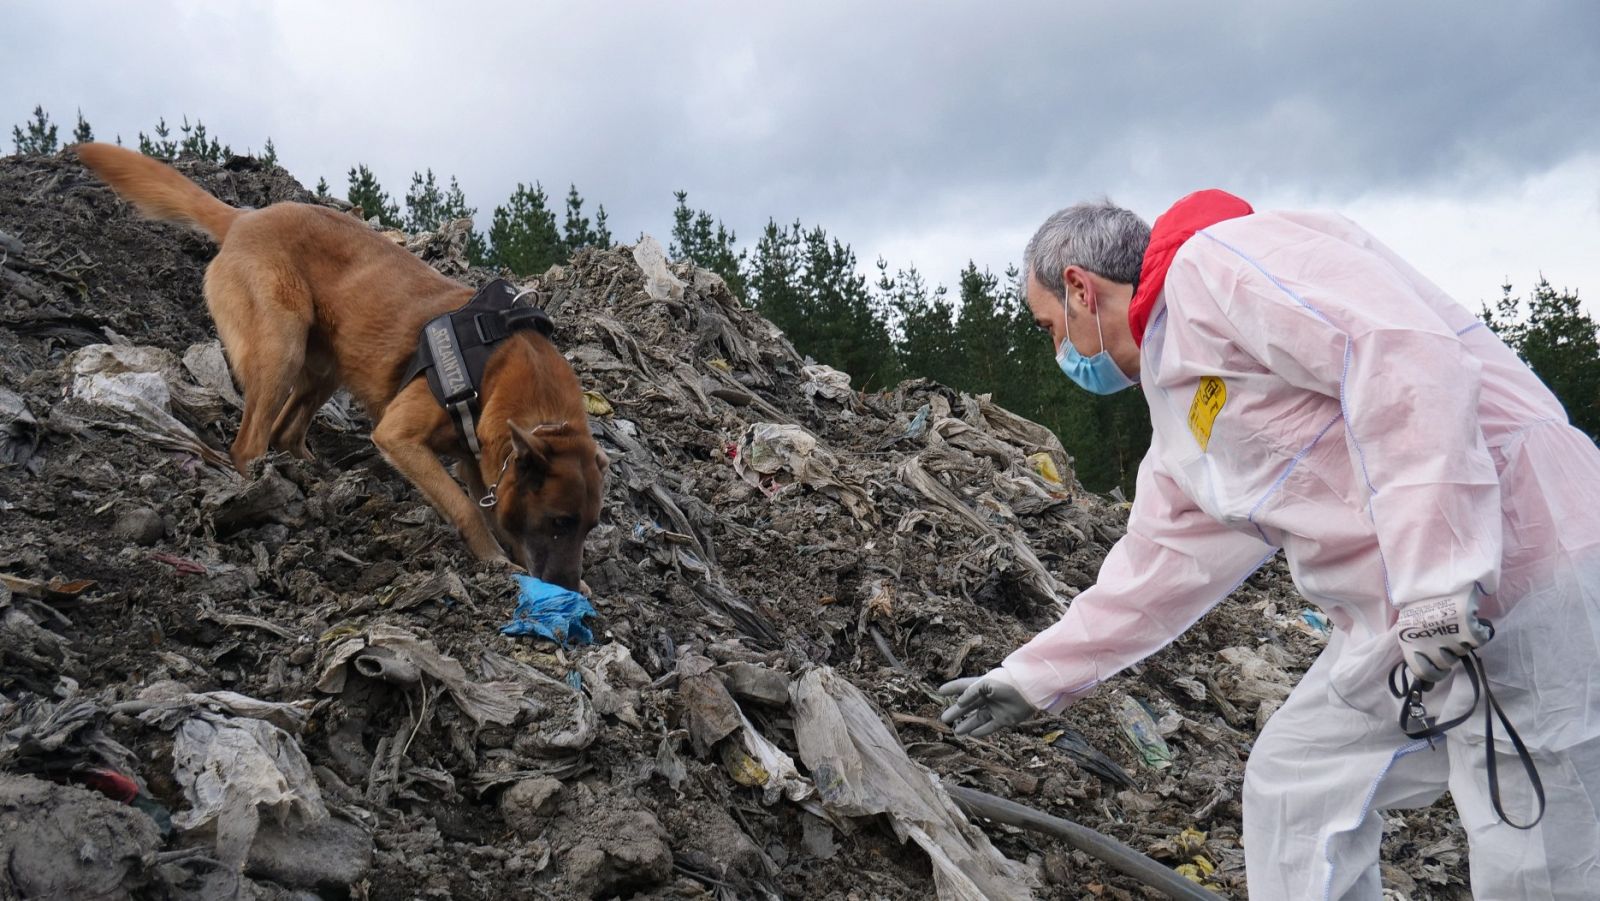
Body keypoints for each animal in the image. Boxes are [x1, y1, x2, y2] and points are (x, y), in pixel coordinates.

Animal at [70, 142, 604, 592]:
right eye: (559, 521)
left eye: (589, 526)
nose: (567, 586)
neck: (497, 366)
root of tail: (243, 219)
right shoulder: (400, 438)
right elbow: (464, 509)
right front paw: (495, 561)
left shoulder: (480, 462)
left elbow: (487, 506)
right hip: (281, 347)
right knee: (249, 443)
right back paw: (264, 491)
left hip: (325, 366)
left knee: (285, 430)